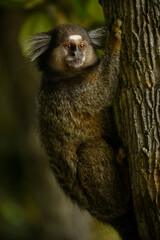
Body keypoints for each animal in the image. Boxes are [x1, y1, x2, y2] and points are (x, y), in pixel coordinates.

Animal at [26, 20, 139, 238]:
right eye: (69, 46)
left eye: (82, 46)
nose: (77, 55)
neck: (65, 76)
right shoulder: (74, 93)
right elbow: (104, 87)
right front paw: (114, 42)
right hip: (103, 201)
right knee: (91, 149)